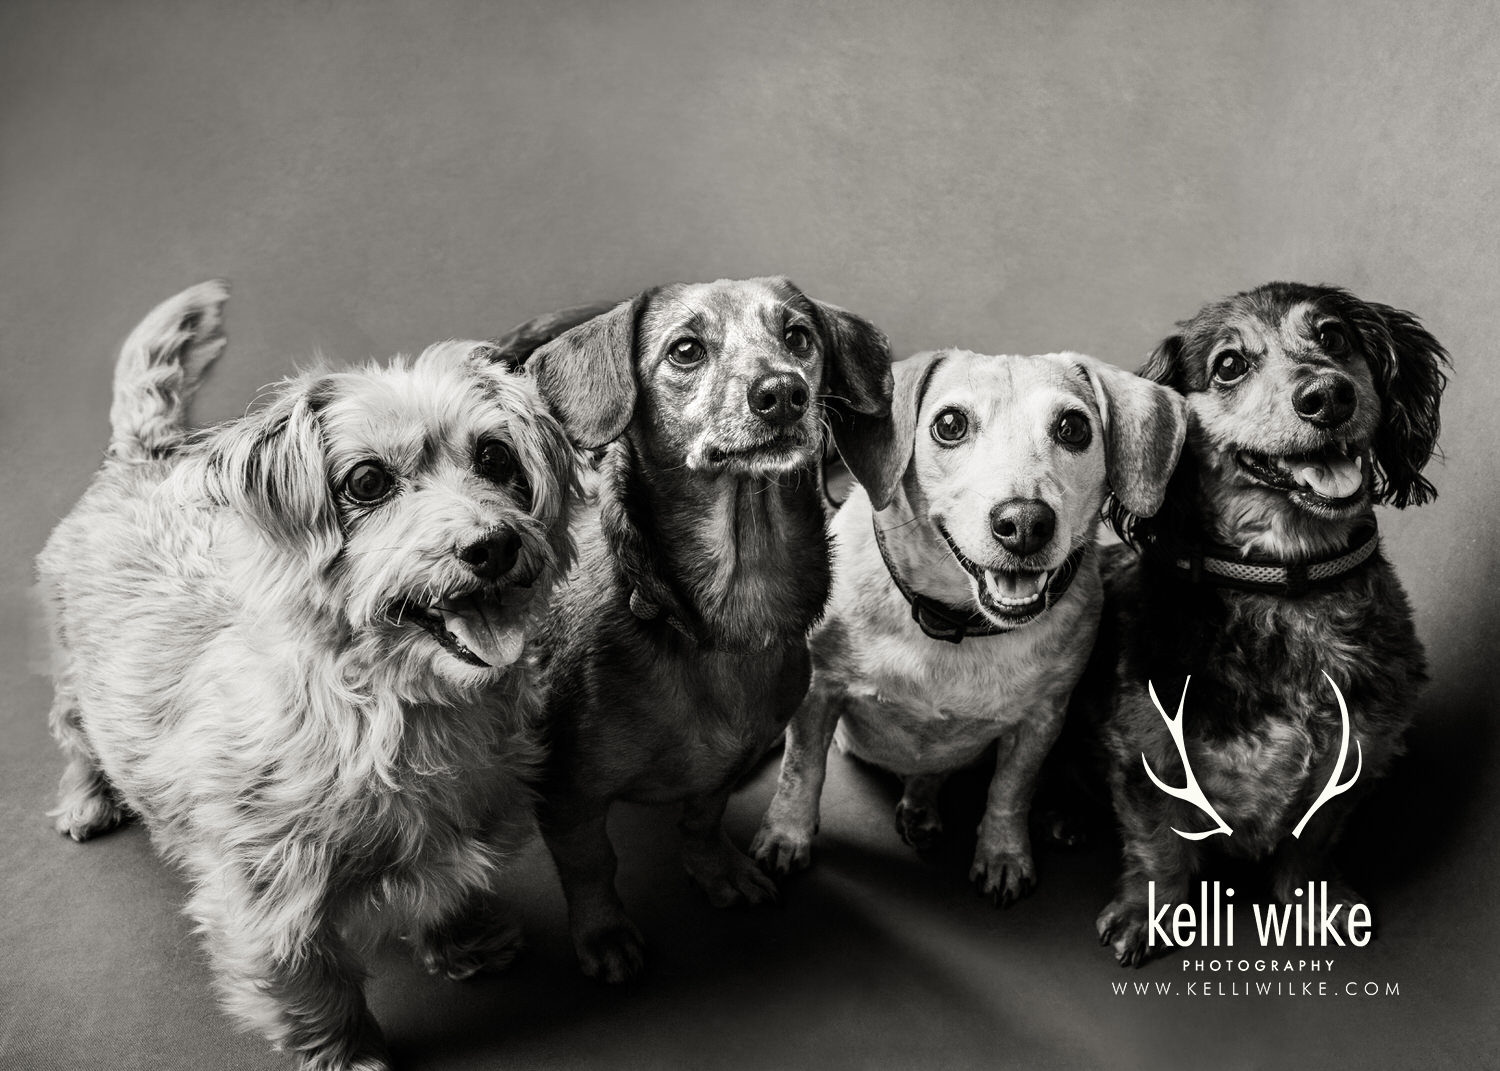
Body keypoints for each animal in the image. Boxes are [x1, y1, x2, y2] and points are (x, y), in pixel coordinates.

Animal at [39, 282, 579, 1068]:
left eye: (495, 455)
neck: (392, 709)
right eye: (366, 481)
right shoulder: (266, 902)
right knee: (75, 735)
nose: (493, 545)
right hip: (73, 673)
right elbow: (310, 986)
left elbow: (448, 889)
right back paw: (86, 801)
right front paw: (346, 1052)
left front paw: (469, 940)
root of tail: (142, 457)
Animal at [756, 348, 1188, 900]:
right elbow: (802, 769)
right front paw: (786, 833)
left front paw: (1003, 852)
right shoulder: (819, 691)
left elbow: (1011, 790)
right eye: (950, 425)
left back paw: (922, 806)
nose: (1025, 523)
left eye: (1073, 428)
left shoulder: (1041, 720)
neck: (953, 622)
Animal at [1092, 279, 1452, 966]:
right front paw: (1147, 914)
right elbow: (1157, 848)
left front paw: (1315, 901)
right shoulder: (1144, 760)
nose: (1328, 396)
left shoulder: (1355, 758)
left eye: (1333, 336)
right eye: (1230, 365)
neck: (1287, 582)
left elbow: (1311, 843)